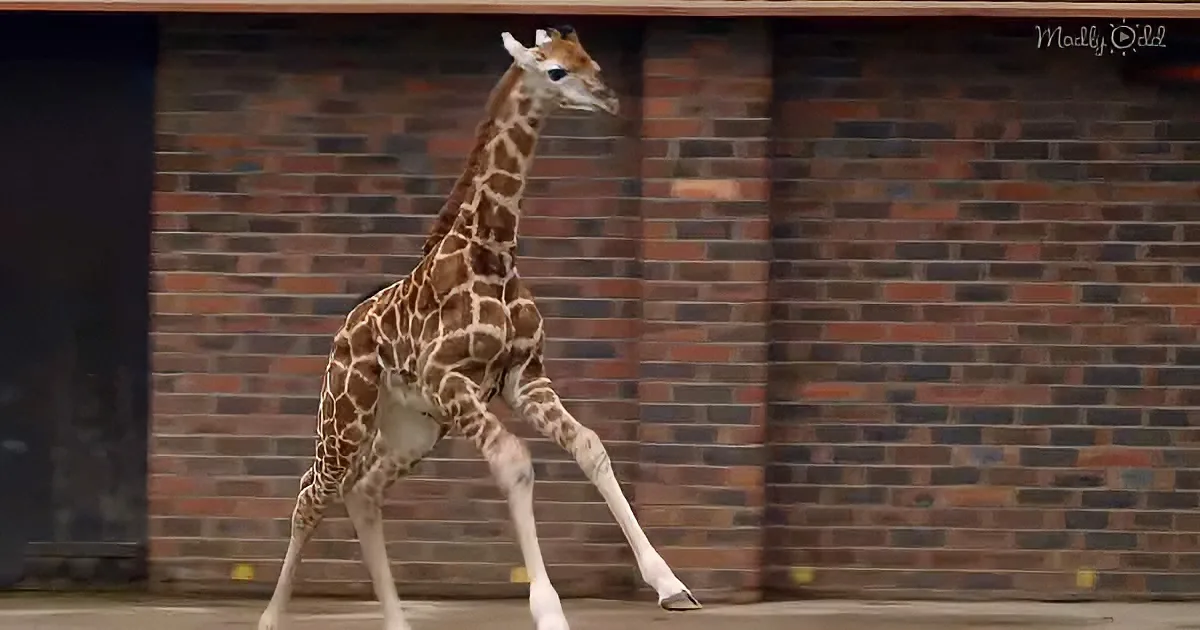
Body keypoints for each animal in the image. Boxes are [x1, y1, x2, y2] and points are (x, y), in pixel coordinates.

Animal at [257, 26, 701, 630]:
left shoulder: (524, 377)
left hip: (414, 429)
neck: (492, 253)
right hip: (346, 415)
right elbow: (515, 464)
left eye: (590, 59)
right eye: (555, 70)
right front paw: (549, 610)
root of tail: (341, 335)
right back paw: (270, 618)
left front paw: (670, 584)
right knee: (311, 493)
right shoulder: (449, 377)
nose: (608, 98)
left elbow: (590, 446)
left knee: (364, 492)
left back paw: (398, 622)